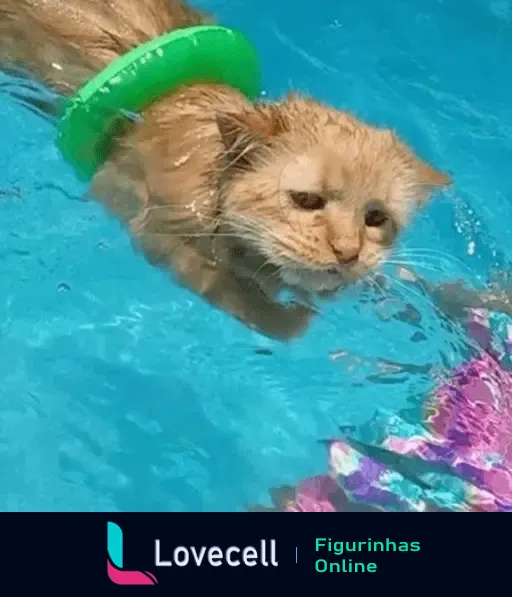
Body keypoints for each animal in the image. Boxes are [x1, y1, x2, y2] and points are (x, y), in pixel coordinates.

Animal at [0, 0, 448, 338]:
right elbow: (244, 303)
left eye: (376, 218)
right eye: (307, 200)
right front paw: (291, 316)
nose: (348, 253)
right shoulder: (155, 226)